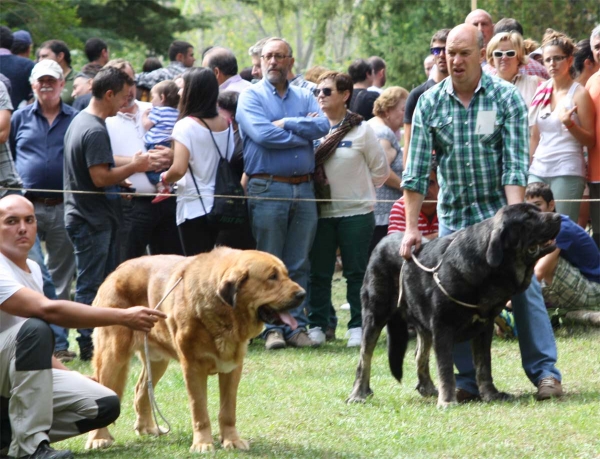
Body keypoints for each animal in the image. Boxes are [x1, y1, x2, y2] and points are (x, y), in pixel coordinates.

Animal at [85, 248, 304, 452]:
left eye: (286, 274)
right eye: (272, 277)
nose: (302, 294)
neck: (224, 312)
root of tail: (115, 271)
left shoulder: (233, 368)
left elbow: (228, 411)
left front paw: (232, 440)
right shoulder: (193, 368)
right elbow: (200, 410)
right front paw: (203, 444)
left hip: (156, 361)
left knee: (141, 389)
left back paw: (147, 428)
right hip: (112, 357)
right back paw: (98, 438)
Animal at [346, 203, 564, 408]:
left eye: (537, 210)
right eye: (528, 218)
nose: (559, 217)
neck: (485, 268)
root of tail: (382, 241)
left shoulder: (483, 328)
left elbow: (484, 366)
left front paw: (490, 394)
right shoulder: (442, 328)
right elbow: (446, 368)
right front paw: (448, 401)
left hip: (421, 322)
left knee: (419, 355)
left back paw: (427, 388)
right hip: (375, 315)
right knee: (364, 359)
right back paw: (358, 394)